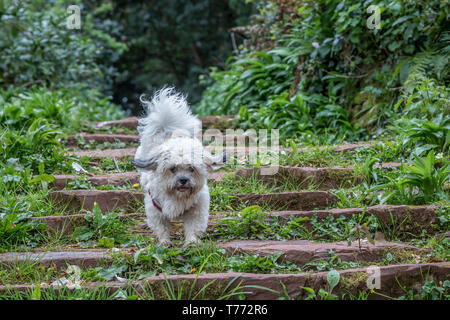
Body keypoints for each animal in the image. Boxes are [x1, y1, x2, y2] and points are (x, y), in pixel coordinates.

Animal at [134, 89, 225, 246]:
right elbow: (161, 227)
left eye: (192, 169)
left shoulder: (197, 209)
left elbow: (193, 227)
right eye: (172, 169)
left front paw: (192, 242)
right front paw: (164, 242)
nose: (183, 180)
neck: (177, 197)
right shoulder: (155, 210)